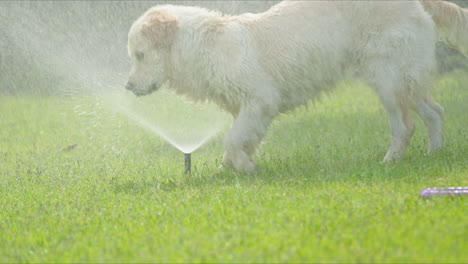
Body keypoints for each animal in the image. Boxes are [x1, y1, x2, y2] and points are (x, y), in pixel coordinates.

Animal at [125, 0, 468, 172]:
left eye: (140, 55)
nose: (127, 86)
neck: (208, 45)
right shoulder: (247, 110)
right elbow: (242, 139)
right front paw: (229, 169)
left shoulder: (260, 101)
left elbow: (232, 139)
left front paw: (245, 167)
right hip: (407, 80)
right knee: (435, 112)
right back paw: (434, 155)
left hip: (386, 79)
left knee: (405, 125)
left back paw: (389, 162)